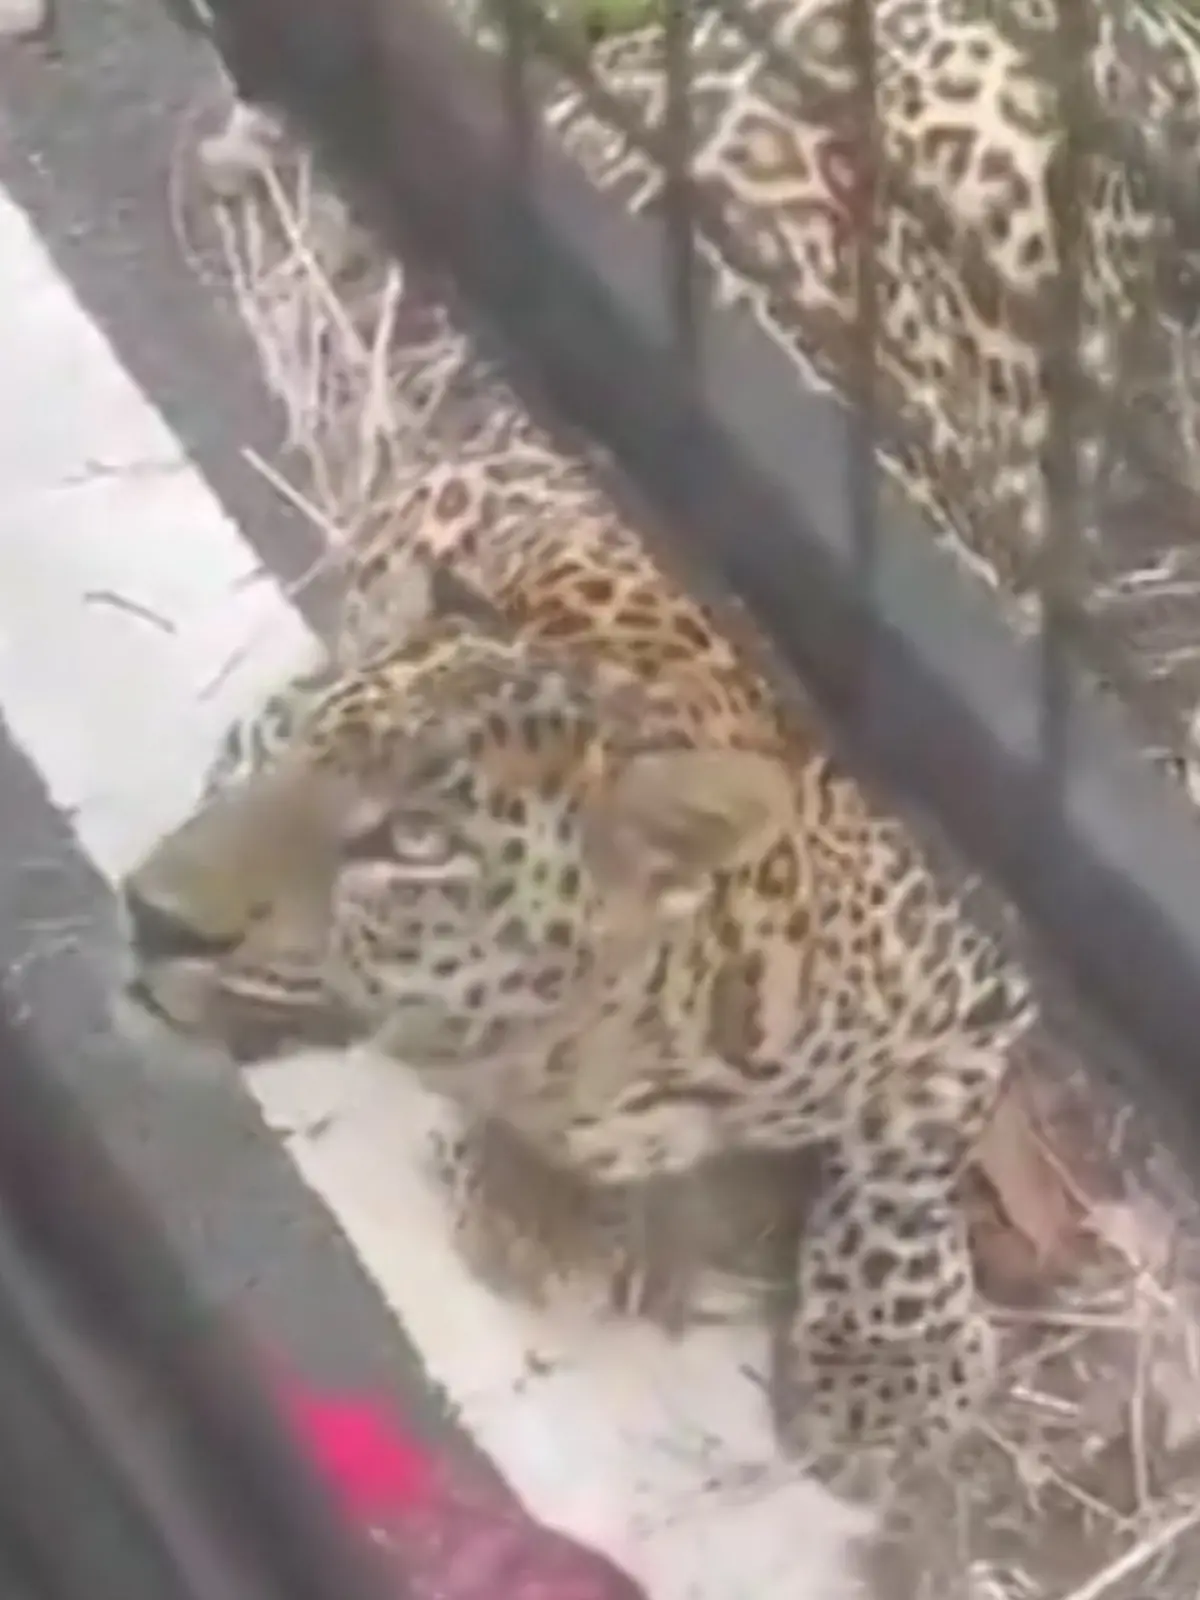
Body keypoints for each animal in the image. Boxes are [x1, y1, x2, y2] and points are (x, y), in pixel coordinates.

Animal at [115, 415, 1036, 1486]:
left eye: (417, 843)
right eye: (293, 759)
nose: (151, 914)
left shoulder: (975, 977)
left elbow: (904, 1162)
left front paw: (888, 1366)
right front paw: (535, 1198)